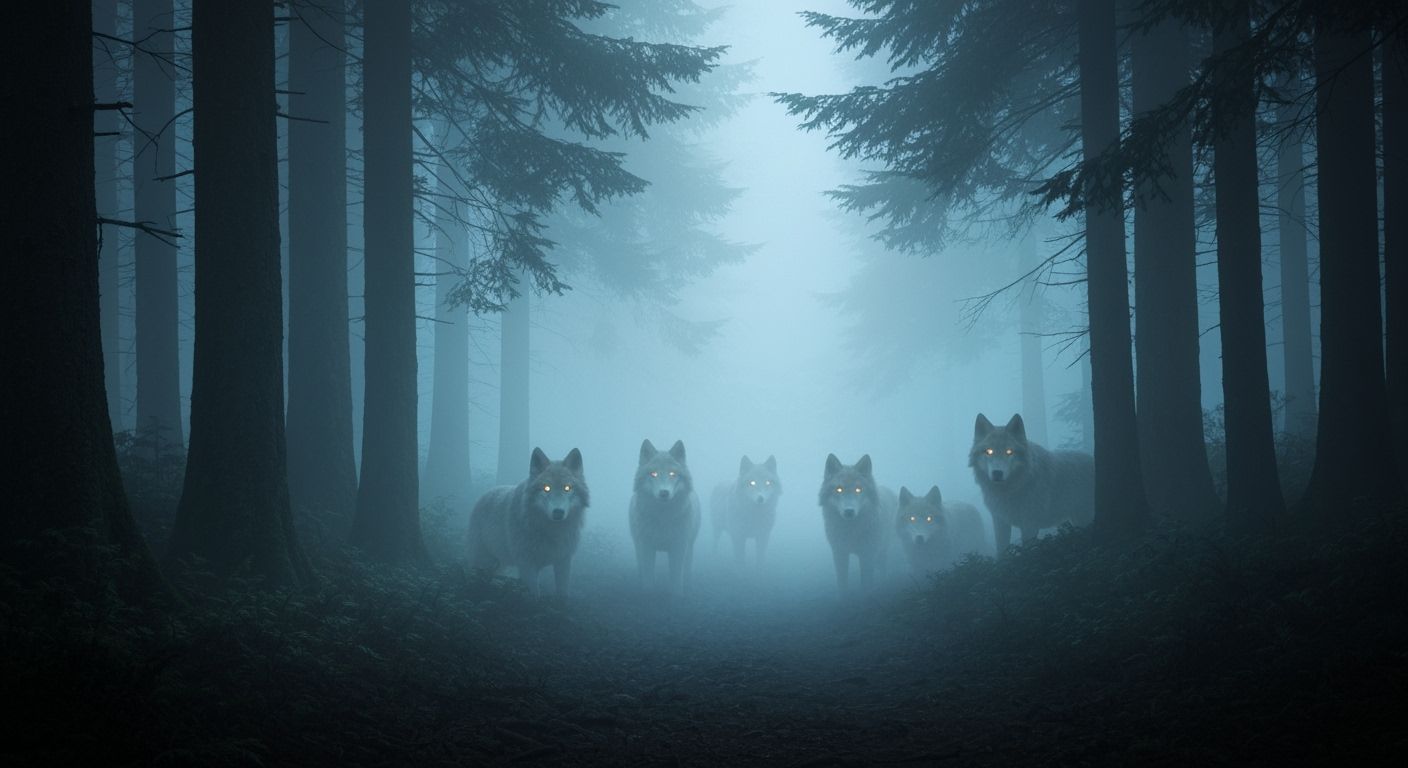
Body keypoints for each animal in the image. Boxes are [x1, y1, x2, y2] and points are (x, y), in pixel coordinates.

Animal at [467, 447, 588, 596]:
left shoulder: (564, 562)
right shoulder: (527, 565)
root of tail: (486, 493)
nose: (558, 512)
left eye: (567, 488)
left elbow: (562, 594)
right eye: (546, 488)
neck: (552, 531)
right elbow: (534, 596)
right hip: (482, 562)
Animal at [629, 439, 701, 594]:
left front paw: (677, 595)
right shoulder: (646, 546)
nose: (664, 493)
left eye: (672, 474)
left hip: (689, 547)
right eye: (654, 474)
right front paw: (648, 593)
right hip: (637, 544)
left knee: (687, 568)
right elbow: (648, 579)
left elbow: (676, 580)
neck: (663, 518)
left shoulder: (679, 547)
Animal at [818, 454, 896, 596]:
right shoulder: (839, 553)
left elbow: (866, 584)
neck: (851, 531)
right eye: (839, 489)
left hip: (882, 550)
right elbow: (842, 584)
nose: (849, 511)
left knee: (884, 569)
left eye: (858, 489)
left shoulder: (867, 554)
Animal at [970, 413, 1093, 555]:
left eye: (1009, 452)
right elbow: (1001, 551)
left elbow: (1028, 551)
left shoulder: (1029, 525)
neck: (1009, 491)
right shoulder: (1000, 522)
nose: (997, 473)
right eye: (989, 451)